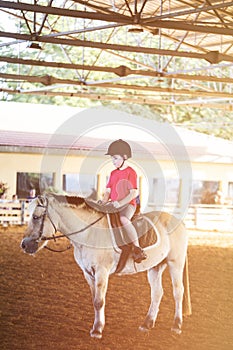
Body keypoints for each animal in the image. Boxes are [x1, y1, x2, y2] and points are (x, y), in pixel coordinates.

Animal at [20, 193, 191, 338]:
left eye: (36, 217)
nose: (24, 245)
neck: (89, 233)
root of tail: (178, 221)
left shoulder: (101, 271)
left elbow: (99, 301)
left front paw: (97, 330)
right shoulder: (88, 273)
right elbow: (95, 300)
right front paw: (97, 326)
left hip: (175, 263)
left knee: (178, 292)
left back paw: (176, 325)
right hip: (155, 267)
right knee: (157, 293)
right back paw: (147, 324)